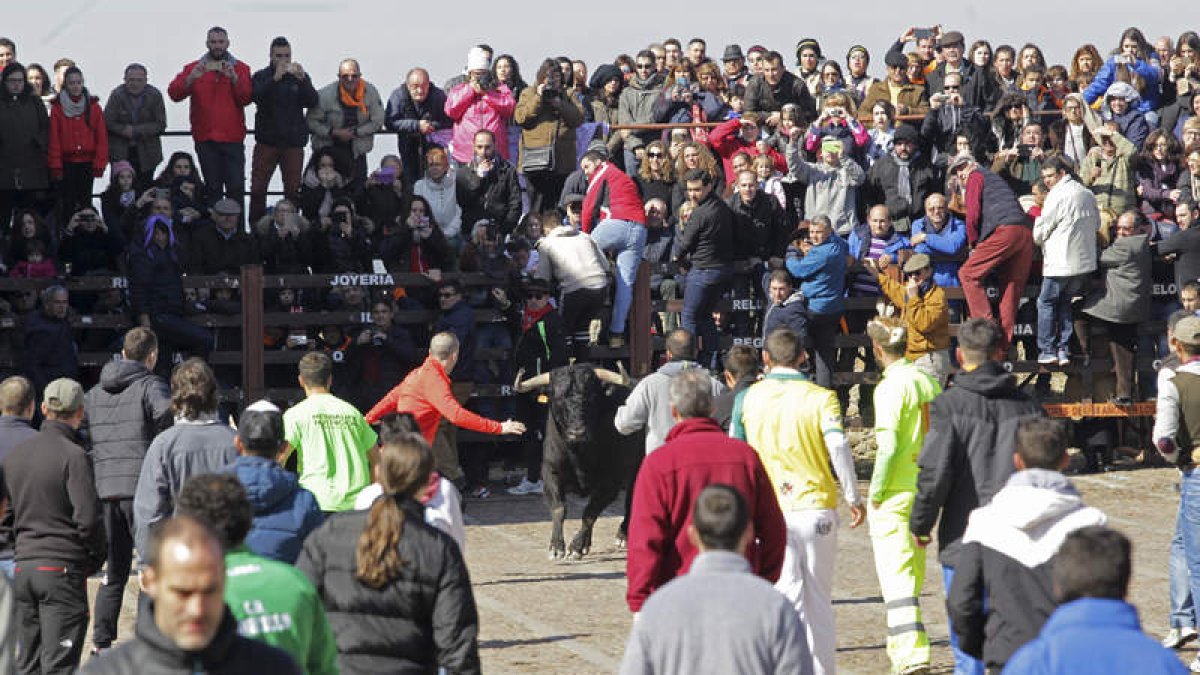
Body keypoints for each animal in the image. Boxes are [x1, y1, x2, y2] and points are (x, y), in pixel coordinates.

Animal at [523, 362, 643, 557]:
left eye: (591, 397)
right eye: (557, 397)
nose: (577, 432)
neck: (578, 454)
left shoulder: (611, 483)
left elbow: (589, 513)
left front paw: (576, 547)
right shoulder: (550, 473)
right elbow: (559, 508)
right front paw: (557, 547)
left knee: (631, 499)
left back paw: (622, 536)